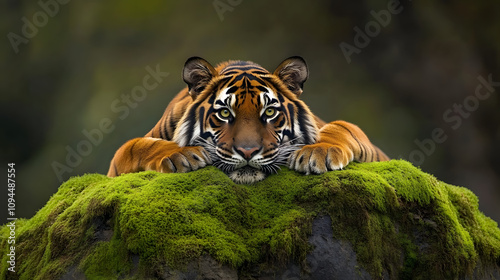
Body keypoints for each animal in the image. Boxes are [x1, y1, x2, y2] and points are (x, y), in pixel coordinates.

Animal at [106, 56, 390, 184]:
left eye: (269, 112)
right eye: (224, 113)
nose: (247, 151)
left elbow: (342, 126)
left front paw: (318, 152)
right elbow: (132, 146)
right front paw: (180, 155)